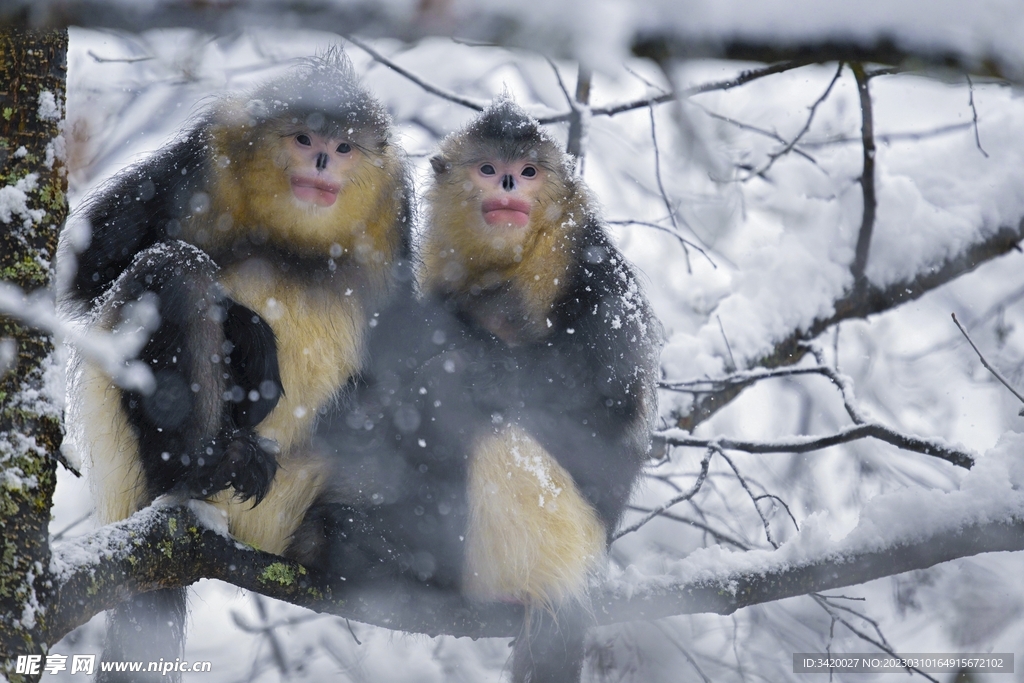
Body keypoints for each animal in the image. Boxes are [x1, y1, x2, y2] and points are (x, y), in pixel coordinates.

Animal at [59, 50, 409, 679]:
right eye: (304, 137)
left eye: (343, 146)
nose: (322, 159)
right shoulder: (201, 162)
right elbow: (87, 271)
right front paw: (249, 334)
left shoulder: (395, 217)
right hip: (132, 454)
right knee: (172, 268)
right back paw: (203, 462)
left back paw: (349, 543)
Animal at [299, 100, 659, 683]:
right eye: (489, 169)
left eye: (529, 172)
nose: (509, 182)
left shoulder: (595, 271)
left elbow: (604, 410)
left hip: (554, 528)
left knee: (461, 397)